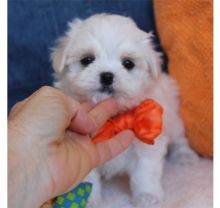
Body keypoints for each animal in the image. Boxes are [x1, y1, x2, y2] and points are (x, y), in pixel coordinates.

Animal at [50, 13, 199, 207]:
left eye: (128, 63)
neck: (114, 117)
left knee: (179, 138)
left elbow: (145, 172)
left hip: (172, 119)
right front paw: (89, 201)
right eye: (87, 60)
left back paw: (184, 156)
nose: (107, 76)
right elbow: (87, 179)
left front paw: (147, 196)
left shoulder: (147, 141)